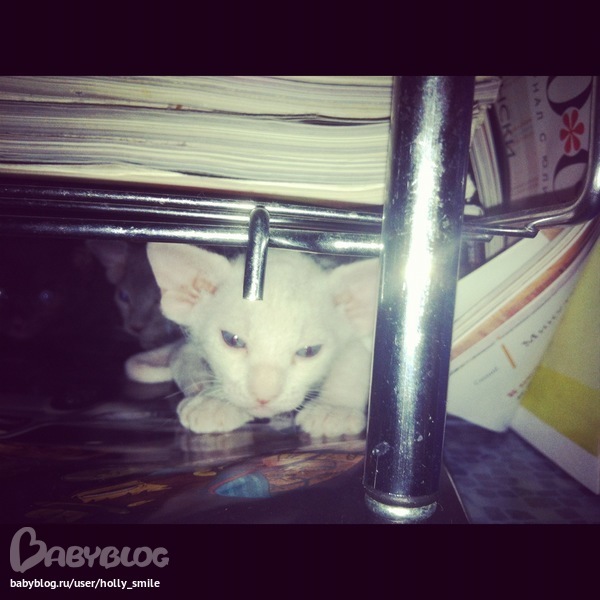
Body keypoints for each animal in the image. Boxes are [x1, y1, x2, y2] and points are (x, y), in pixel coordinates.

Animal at [126, 243, 380, 438]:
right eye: (232, 340)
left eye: (309, 351)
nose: (263, 397)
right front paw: (217, 401)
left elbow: (354, 359)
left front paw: (334, 409)